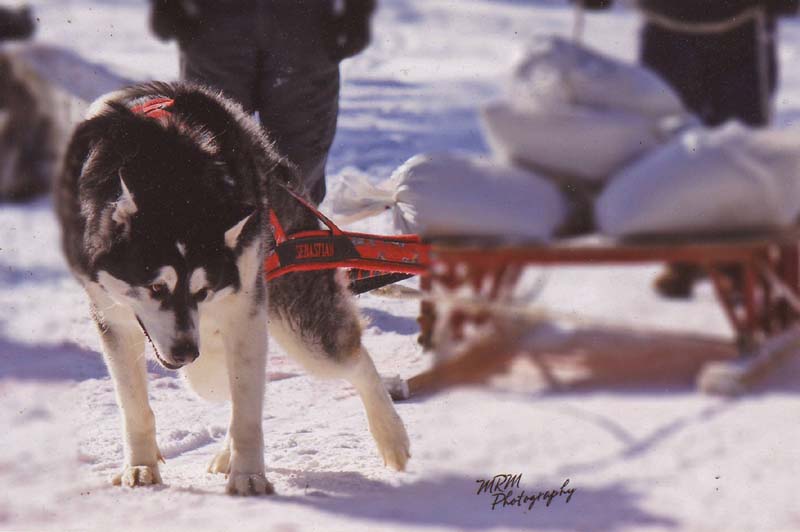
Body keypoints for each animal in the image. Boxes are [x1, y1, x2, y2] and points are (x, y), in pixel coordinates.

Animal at [56, 82, 410, 494]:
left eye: (201, 291)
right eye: (157, 288)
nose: (184, 352)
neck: (171, 180)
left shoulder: (243, 310)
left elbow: (243, 404)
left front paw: (249, 475)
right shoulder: (114, 318)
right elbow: (135, 406)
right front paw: (141, 465)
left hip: (303, 326)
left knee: (353, 359)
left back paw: (391, 435)